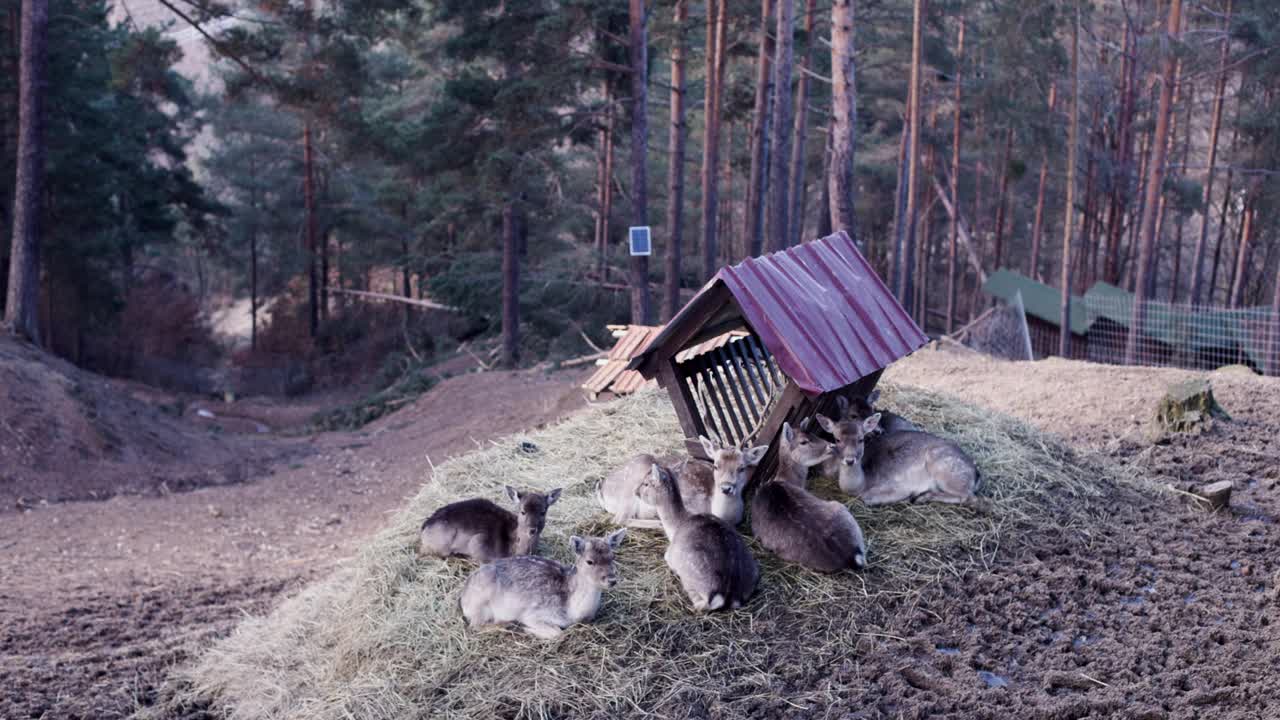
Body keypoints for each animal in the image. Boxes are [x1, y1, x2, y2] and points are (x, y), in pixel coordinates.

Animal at [460, 525, 624, 635]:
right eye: (590, 561)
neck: (571, 609)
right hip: (481, 604)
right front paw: (527, 629)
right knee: (475, 625)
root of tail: (463, 599)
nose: (612, 580)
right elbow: (557, 632)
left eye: (613, 556)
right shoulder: (534, 613)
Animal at [632, 458, 752, 609]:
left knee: (700, 604)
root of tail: (728, 595)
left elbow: (665, 556)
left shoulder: (670, 554)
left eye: (646, 483)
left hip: (687, 574)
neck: (674, 527)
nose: (635, 491)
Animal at [747, 420, 870, 571]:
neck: (783, 479)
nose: (831, 446)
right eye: (803, 442)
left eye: (812, 433)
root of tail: (850, 556)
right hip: (839, 506)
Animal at [814, 409, 983, 504]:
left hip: (944, 470)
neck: (861, 484)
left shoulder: (897, 485)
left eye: (861, 439)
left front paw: (908, 497)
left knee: (969, 497)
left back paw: (921, 497)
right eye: (837, 439)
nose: (849, 460)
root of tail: (976, 474)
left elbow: (868, 498)